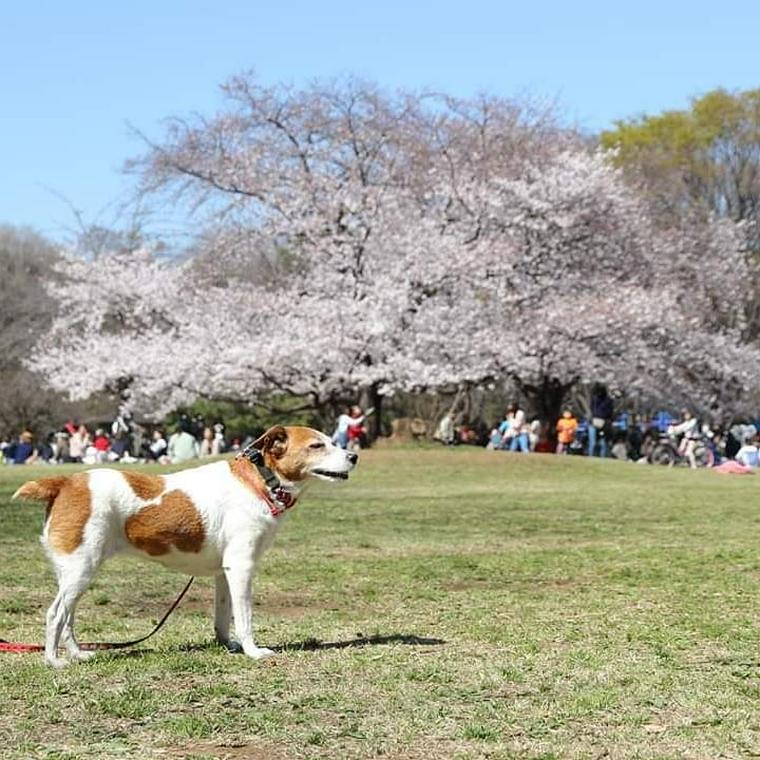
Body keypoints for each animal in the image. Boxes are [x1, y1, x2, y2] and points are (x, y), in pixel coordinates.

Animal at [11, 424, 356, 668]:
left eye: (332, 440)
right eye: (316, 445)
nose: (353, 456)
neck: (260, 481)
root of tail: (65, 482)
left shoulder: (224, 572)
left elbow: (223, 615)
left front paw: (227, 645)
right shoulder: (242, 568)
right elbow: (244, 616)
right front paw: (253, 651)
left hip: (75, 572)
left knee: (68, 616)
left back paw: (78, 654)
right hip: (81, 569)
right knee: (55, 614)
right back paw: (54, 661)